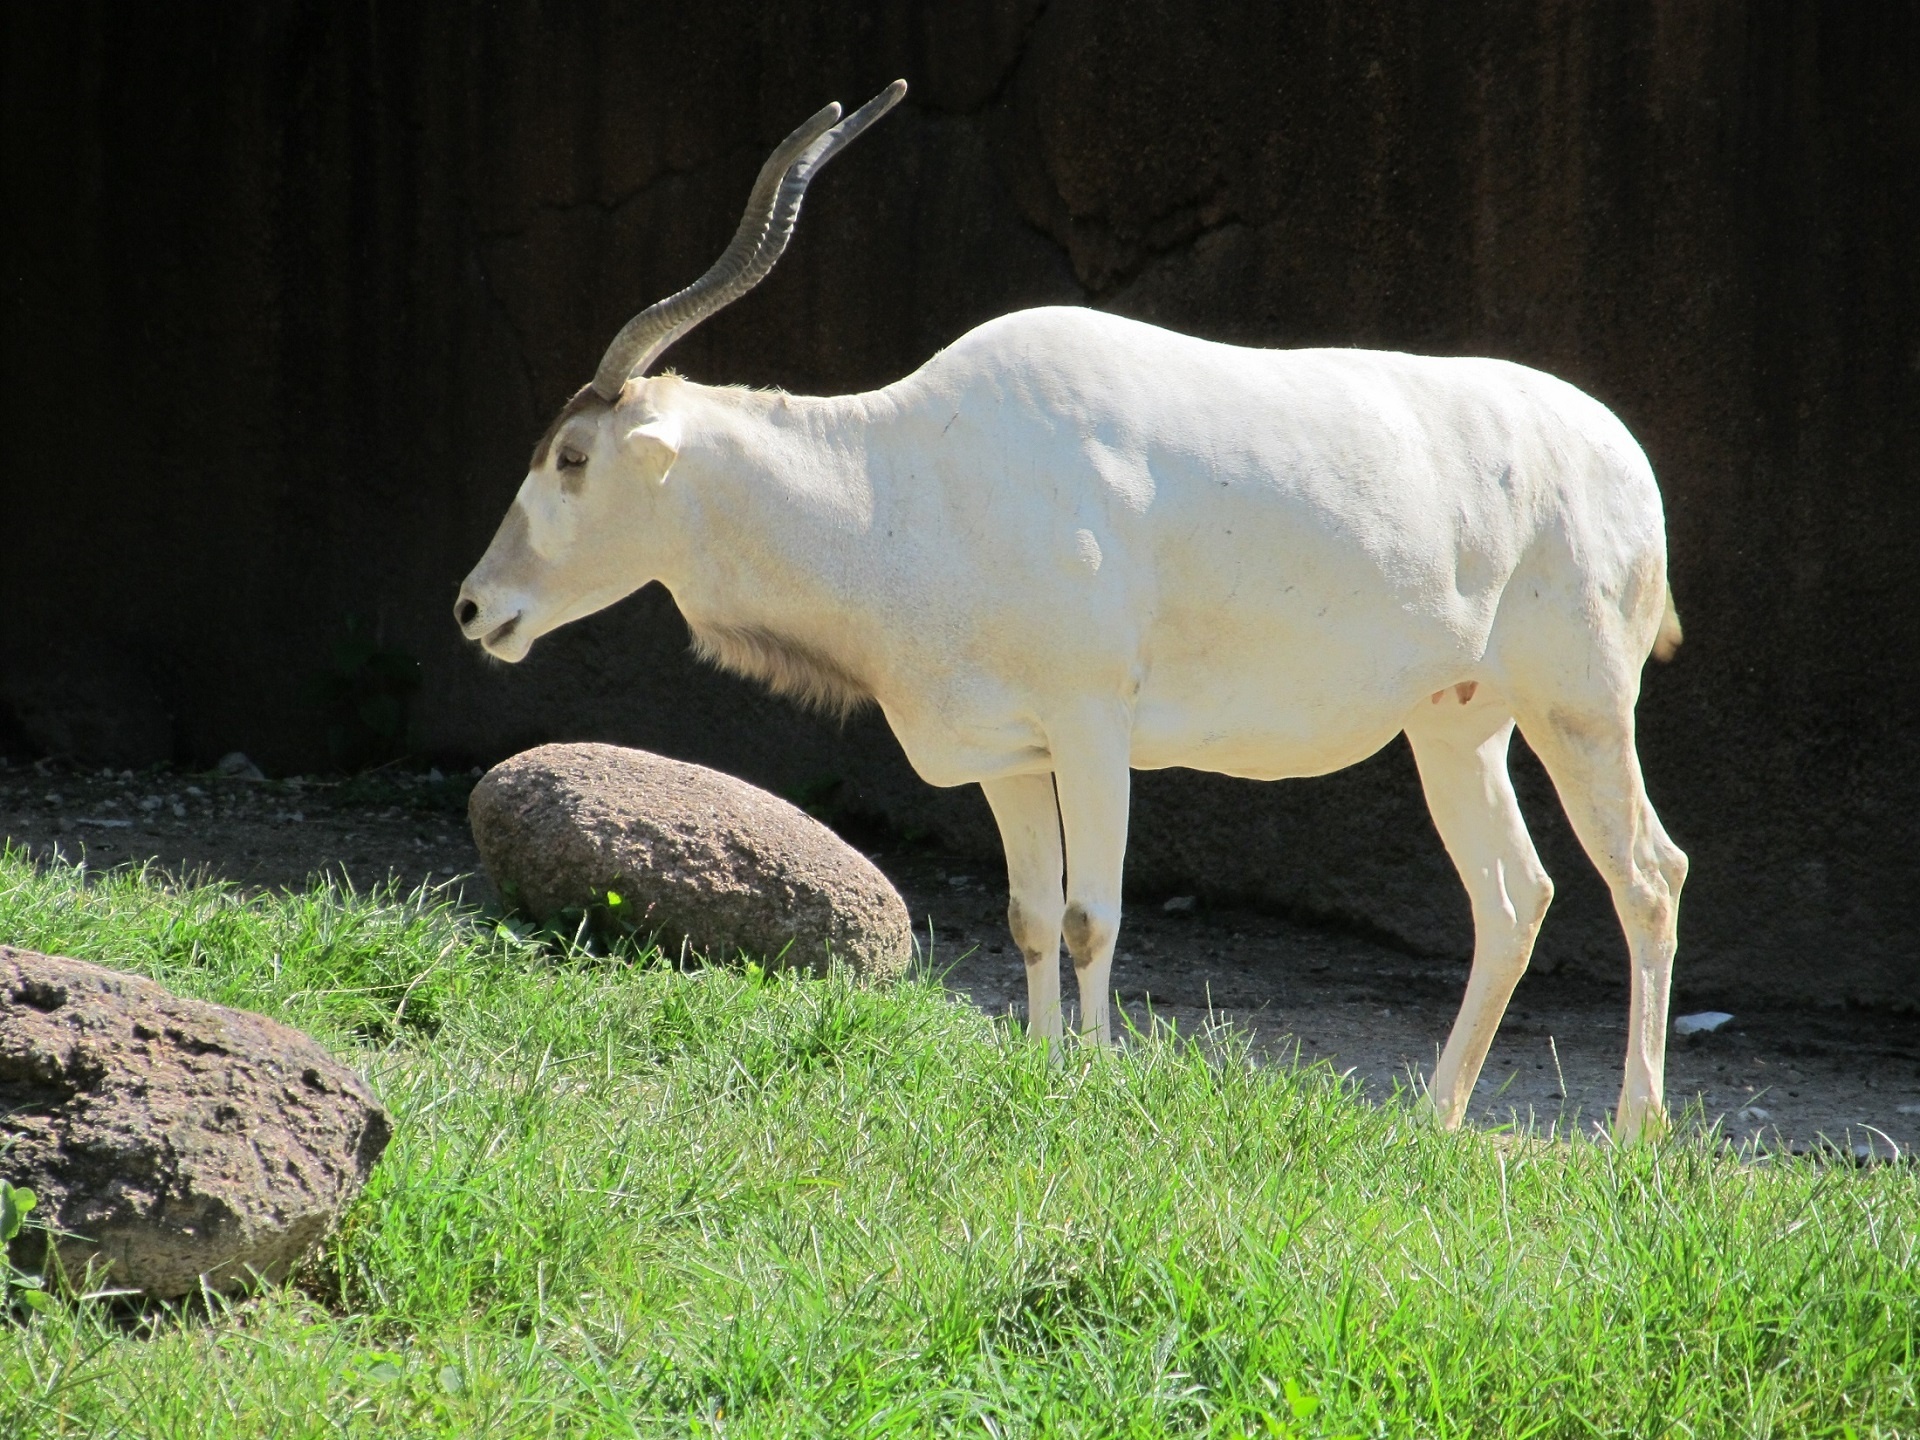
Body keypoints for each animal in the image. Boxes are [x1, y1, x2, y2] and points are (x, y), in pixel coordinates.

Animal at [456, 81, 1689, 1136]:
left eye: (571, 457)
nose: (474, 609)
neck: (906, 477)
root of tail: (1626, 459)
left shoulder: (1095, 723)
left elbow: (1097, 913)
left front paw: (1094, 1085)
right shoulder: (1013, 751)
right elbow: (1032, 915)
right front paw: (1043, 1070)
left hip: (1580, 709)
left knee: (1645, 874)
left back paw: (1636, 1134)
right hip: (1456, 724)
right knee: (1514, 896)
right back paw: (1432, 1119)